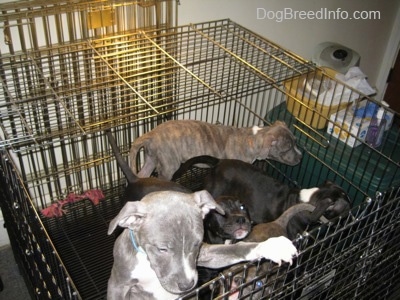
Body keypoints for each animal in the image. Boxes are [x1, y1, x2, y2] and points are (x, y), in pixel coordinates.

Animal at [130, 120, 302, 180]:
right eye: (287, 148)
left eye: (296, 141)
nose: (300, 157)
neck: (253, 138)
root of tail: (151, 134)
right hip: (169, 165)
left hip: (151, 159)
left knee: (143, 175)